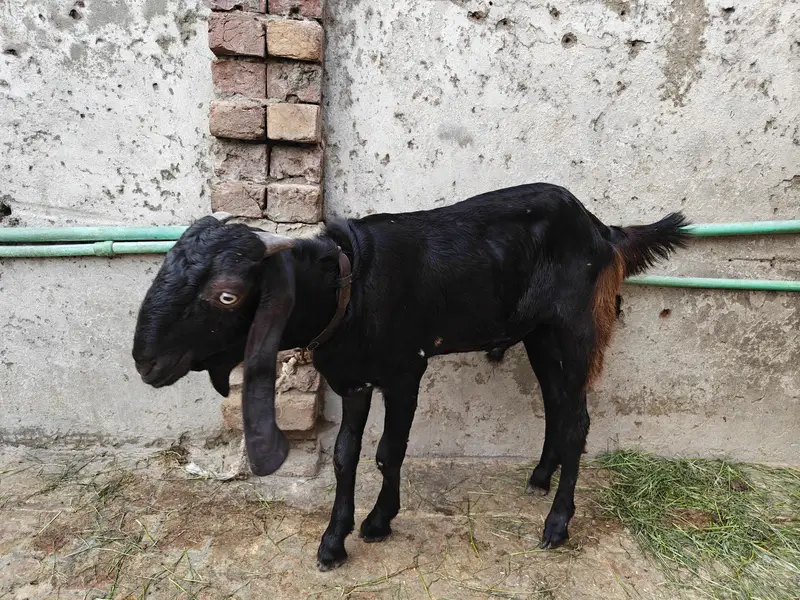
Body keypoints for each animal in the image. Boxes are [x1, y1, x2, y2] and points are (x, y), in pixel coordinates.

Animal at [132, 183, 688, 571]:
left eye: (227, 294)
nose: (145, 363)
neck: (351, 289)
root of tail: (603, 231)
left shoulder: (405, 371)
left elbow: (387, 452)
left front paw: (379, 522)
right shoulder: (354, 379)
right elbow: (344, 455)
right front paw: (333, 542)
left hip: (575, 329)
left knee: (577, 421)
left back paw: (556, 524)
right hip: (538, 335)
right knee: (556, 405)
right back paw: (538, 478)